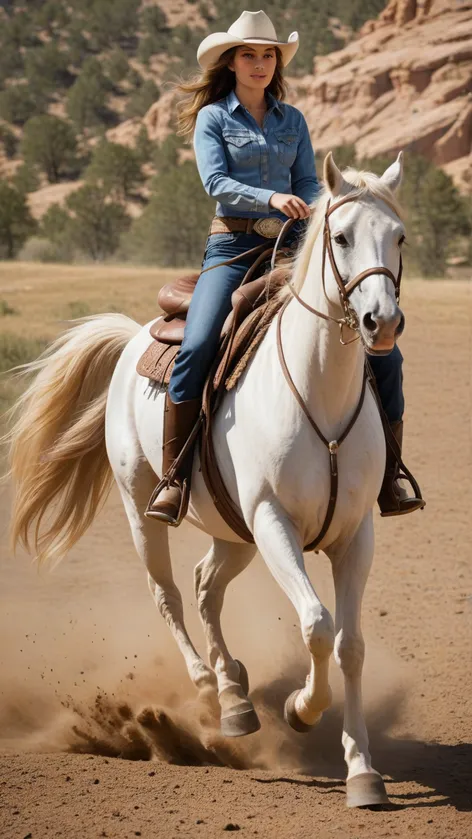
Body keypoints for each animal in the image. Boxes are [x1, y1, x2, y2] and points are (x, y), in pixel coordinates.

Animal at [6, 154, 406, 812]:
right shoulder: (273, 523)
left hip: (233, 533)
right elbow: (317, 625)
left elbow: (350, 644)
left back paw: (236, 695)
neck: (319, 392)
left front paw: (363, 771)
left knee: (204, 587)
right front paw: (300, 709)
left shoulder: (355, 536)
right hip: (146, 510)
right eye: (342, 237)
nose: (382, 323)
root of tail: (132, 338)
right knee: (168, 593)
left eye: (398, 238)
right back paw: (207, 689)